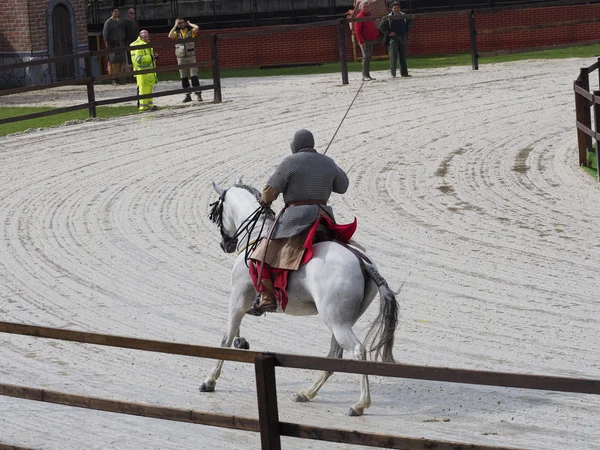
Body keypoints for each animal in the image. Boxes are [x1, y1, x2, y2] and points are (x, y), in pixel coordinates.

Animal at [202, 178, 398, 414]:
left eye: (217, 211)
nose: (226, 245)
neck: (259, 233)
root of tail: (363, 263)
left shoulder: (238, 298)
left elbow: (226, 338)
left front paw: (210, 380)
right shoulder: (243, 300)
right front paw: (241, 342)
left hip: (336, 321)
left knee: (357, 351)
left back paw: (360, 404)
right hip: (341, 321)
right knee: (335, 355)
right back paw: (307, 393)